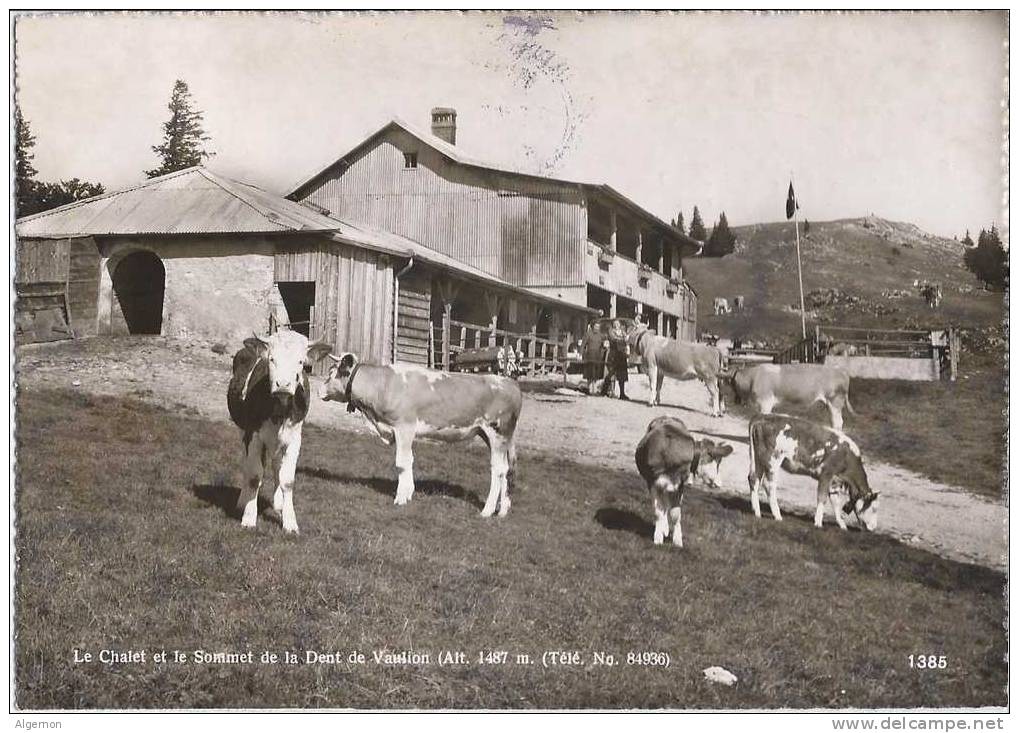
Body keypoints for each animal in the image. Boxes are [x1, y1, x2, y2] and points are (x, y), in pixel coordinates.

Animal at [226, 330, 330, 534]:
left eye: (300, 361)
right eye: (272, 359)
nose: (283, 384)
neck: (280, 410)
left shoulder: (294, 439)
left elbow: (287, 480)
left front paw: (289, 521)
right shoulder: (253, 435)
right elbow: (254, 476)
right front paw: (248, 517)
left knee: (276, 467)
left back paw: (278, 505)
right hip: (242, 431)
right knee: (247, 466)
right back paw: (242, 501)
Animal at [322, 354, 521, 515]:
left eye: (331, 372)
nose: (319, 390)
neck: (385, 385)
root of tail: (509, 383)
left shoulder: (404, 427)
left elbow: (401, 463)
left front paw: (400, 499)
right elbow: (409, 460)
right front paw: (409, 493)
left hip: (496, 432)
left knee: (498, 469)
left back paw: (487, 510)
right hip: (494, 436)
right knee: (506, 469)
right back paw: (502, 510)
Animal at [631, 415, 737, 546]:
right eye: (716, 463)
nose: (719, 484)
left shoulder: (679, 485)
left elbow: (675, 514)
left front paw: (677, 540)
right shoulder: (652, 482)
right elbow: (658, 511)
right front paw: (658, 537)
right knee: (663, 505)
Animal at [745, 415, 880, 530]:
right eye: (874, 509)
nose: (873, 528)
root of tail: (762, 417)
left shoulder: (835, 482)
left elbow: (836, 504)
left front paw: (842, 525)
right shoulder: (826, 474)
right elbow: (822, 497)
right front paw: (818, 523)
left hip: (757, 459)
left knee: (753, 479)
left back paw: (756, 512)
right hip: (773, 459)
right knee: (769, 485)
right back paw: (777, 516)